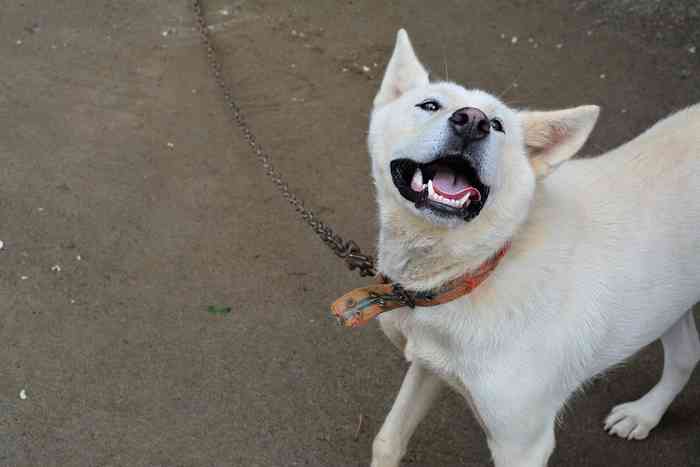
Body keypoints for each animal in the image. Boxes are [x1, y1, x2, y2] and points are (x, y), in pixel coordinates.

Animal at [366, 30, 700, 467]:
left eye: (497, 125)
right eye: (430, 105)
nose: (472, 122)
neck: (479, 269)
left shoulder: (523, 445)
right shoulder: (429, 365)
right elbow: (387, 440)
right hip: (670, 298)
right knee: (687, 353)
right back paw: (643, 415)